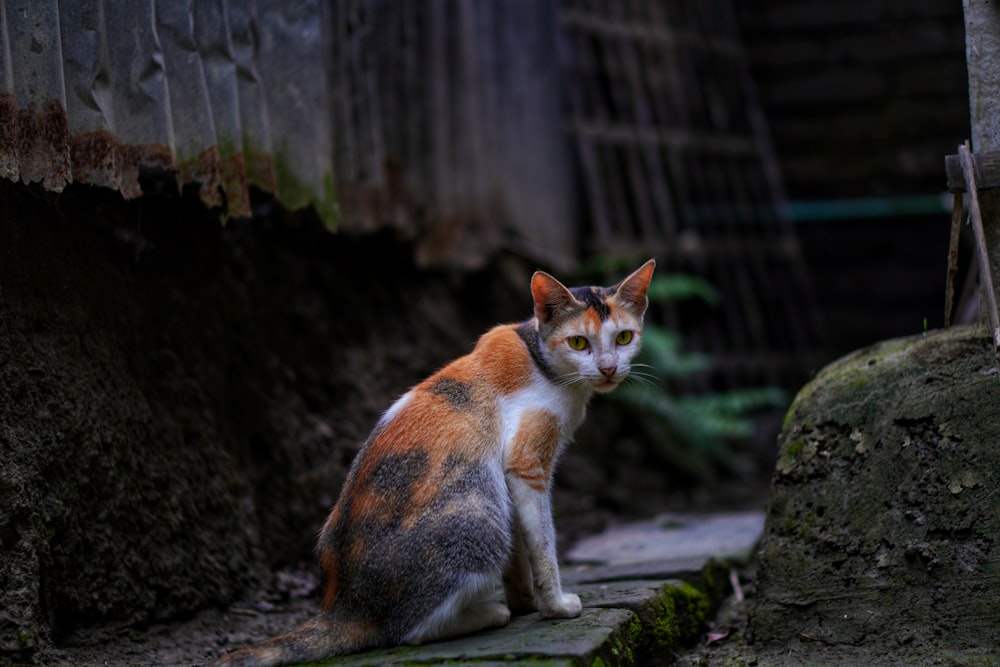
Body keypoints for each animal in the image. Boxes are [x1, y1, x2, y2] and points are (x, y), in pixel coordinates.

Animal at [213, 260, 656, 667]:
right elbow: (543, 544)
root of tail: (345, 606)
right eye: (579, 343)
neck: (541, 360)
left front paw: (526, 601)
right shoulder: (525, 465)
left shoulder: (509, 482)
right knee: (406, 633)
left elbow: (520, 553)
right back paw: (487, 614)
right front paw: (556, 606)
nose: (608, 368)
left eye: (623, 337)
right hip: (479, 514)